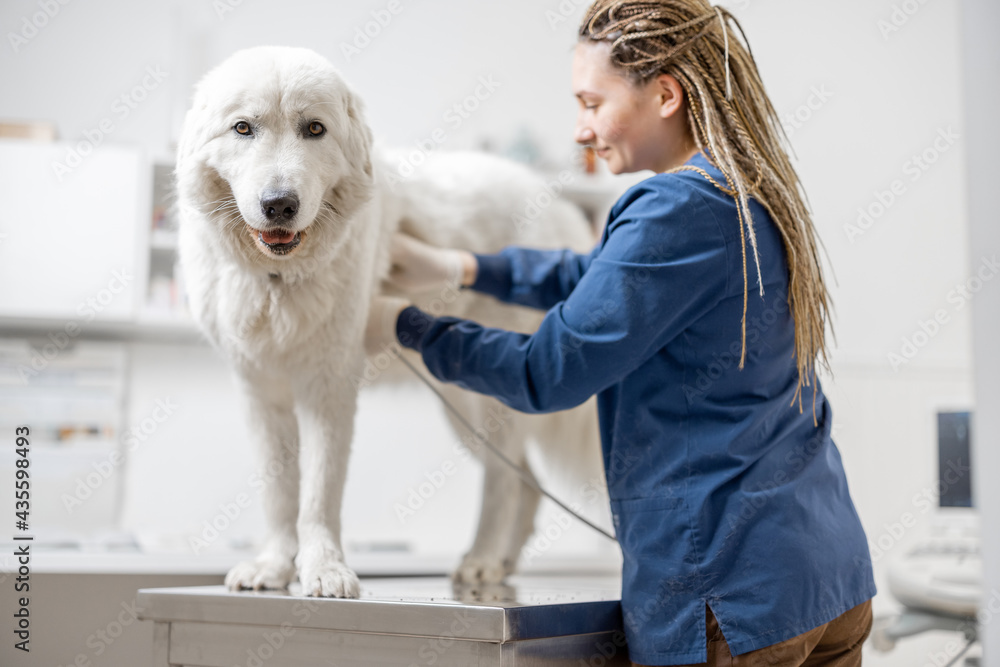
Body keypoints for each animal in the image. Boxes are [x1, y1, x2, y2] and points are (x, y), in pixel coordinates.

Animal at [177, 48, 604, 600]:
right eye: (243, 128)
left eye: (314, 129)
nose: (279, 205)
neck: (277, 282)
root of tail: (564, 209)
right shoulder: (260, 394)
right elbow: (279, 495)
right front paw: (272, 567)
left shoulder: (329, 392)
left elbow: (318, 495)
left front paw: (324, 570)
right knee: (524, 481)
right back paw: (500, 562)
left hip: (486, 398)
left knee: (504, 480)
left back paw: (482, 561)